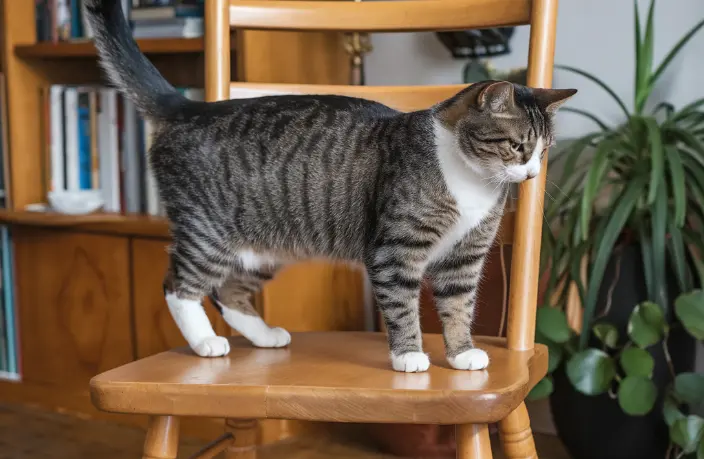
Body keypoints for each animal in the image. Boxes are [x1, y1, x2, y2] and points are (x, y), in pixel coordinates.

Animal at [86, 0, 576, 374]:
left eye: (544, 150)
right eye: (517, 146)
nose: (532, 175)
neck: (470, 182)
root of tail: (189, 107)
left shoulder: (465, 257)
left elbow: (458, 308)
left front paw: (459, 354)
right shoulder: (394, 251)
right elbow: (402, 306)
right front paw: (409, 356)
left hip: (264, 248)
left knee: (229, 292)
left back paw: (264, 336)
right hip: (207, 231)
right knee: (179, 285)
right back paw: (205, 342)